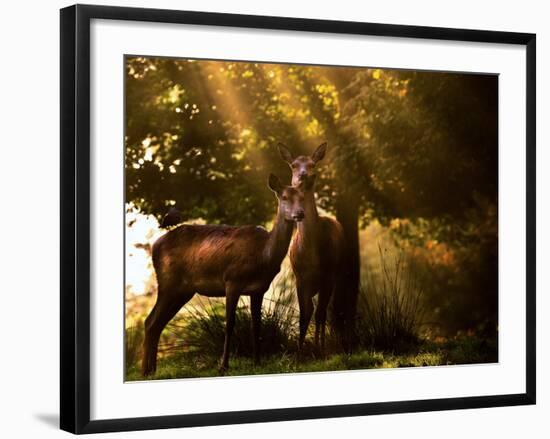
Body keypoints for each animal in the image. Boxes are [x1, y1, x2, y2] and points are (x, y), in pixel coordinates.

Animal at [141, 174, 306, 376]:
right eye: (284, 197)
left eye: (302, 196)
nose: (300, 213)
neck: (263, 255)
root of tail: (154, 246)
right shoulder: (232, 280)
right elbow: (229, 324)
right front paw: (223, 366)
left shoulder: (259, 289)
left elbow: (256, 325)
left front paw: (257, 362)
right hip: (167, 281)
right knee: (150, 321)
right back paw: (145, 371)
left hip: (183, 290)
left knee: (157, 323)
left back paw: (151, 370)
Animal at [280, 143, 344, 356]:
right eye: (293, 165)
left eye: (312, 164)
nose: (303, 175)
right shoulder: (300, 278)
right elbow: (304, 314)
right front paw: (300, 350)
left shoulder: (329, 275)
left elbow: (320, 314)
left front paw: (319, 348)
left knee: (325, 312)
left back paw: (322, 344)